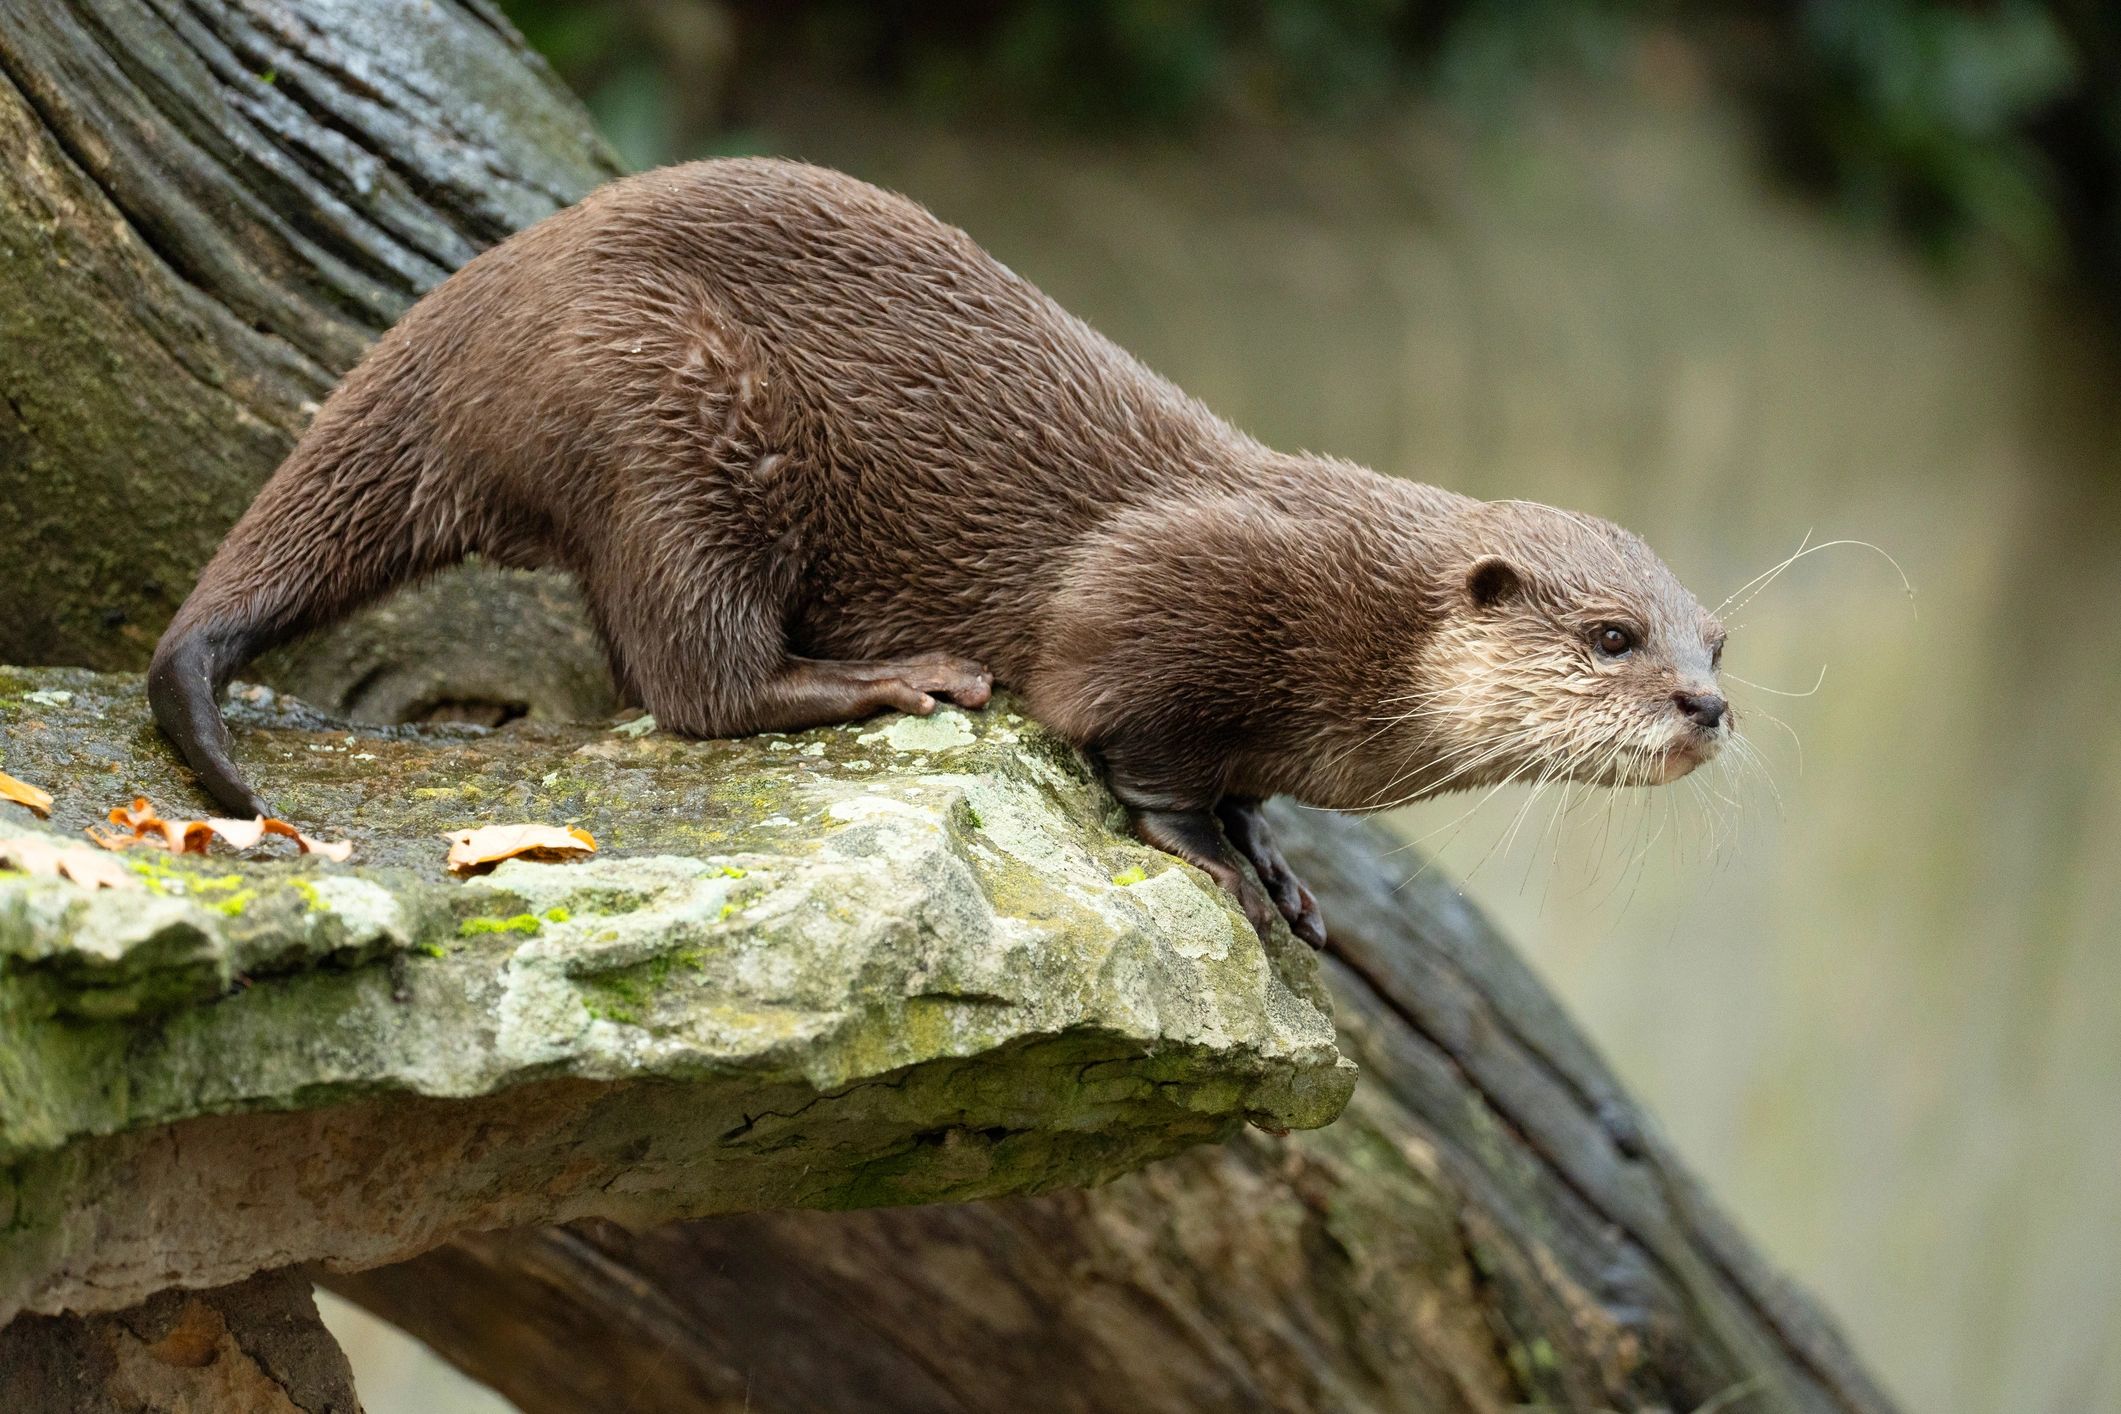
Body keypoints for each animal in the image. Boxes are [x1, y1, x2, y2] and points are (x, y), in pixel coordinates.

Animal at [149, 158, 1729, 947]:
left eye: (1715, 637)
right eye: (1610, 636)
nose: (1707, 705)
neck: (1352, 628)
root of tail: (482, 297)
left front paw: (1280, 862)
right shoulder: (1175, 589)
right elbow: (1133, 739)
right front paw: (1215, 860)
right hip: (673, 416)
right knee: (694, 678)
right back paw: (892, 678)